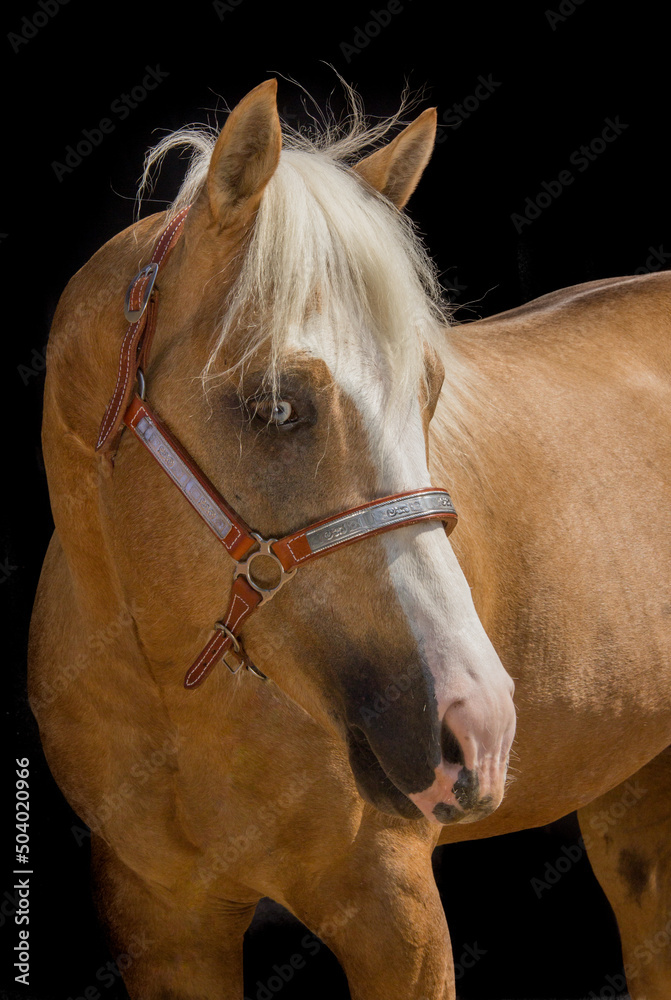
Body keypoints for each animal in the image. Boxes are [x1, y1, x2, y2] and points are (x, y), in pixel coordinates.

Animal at [28, 78, 671, 1000]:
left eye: (427, 391)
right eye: (274, 406)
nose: (476, 726)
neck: (171, 694)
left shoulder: (392, 917)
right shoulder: (161, 921)